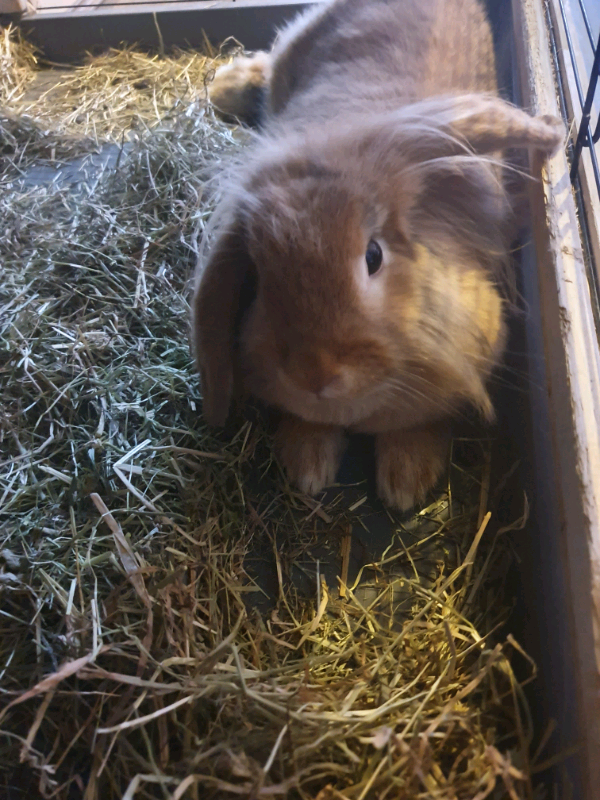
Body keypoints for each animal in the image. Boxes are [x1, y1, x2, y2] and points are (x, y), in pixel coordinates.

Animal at [193, 0, 564, 511]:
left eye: (373, 256)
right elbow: (309, 423)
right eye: (262, 278)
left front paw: (407, 481)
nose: (314, 373)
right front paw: (306, 465)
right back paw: (227, 87)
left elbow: (419, 424)